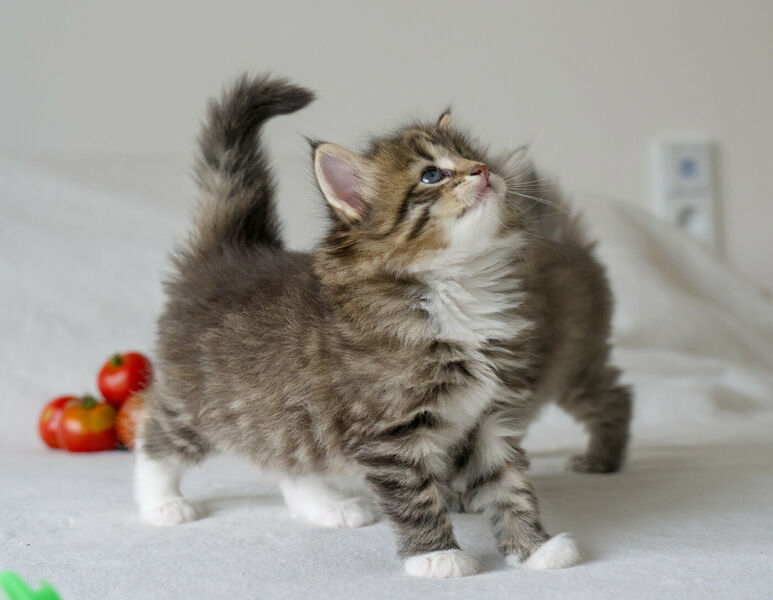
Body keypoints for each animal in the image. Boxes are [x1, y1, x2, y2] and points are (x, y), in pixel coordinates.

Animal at [134, 72, 628, 580]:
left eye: (475, 157)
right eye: (431, 175)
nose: (482, 171)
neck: (456, 289)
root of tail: (231, 250)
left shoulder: (489, 417)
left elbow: (509, 486)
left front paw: (535, 548)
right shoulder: (389, 432)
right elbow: (416, 497)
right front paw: (437, 556)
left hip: (282, 412)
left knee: (287, 460)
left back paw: (327, 508)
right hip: (203, 401)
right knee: (154, 432)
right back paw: (161, 503)